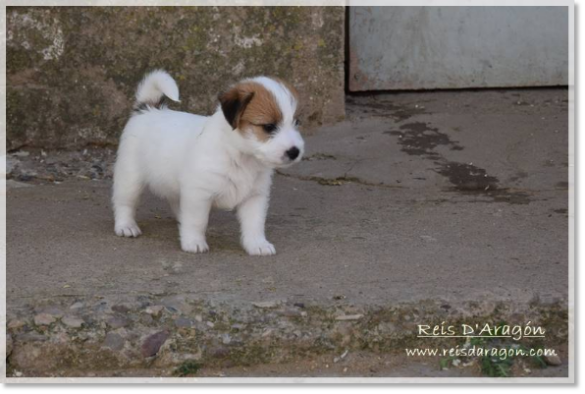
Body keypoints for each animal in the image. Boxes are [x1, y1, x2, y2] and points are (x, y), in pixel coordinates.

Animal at [114, 70, 306, 255]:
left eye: (297, 122)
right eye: (269, 127)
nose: (295, 152)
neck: (240, 155)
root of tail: (148, 108)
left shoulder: (255, 196)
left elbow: (255, 224)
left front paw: (257, 245)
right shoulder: (199, 194)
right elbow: (197, 221)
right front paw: (193, 242)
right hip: (129, 178)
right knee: (124, 203)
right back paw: (126, 226)